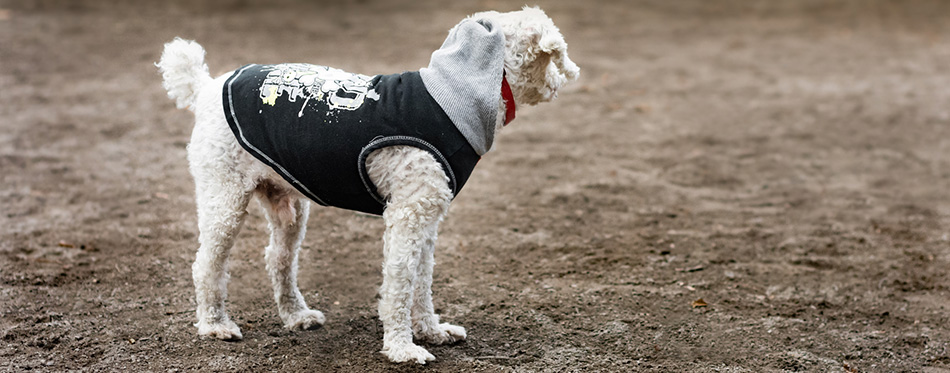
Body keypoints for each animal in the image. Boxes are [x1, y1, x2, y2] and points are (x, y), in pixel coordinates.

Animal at [157, 6, 580, 364]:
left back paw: (296, 315)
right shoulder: (407, 217)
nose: (562, 81)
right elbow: (399, 284)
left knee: (278, 259)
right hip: (224, 198)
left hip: (288, 207)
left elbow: (421, 283)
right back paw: (215, 324)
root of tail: (206, 88)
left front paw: (431, 330)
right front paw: (402, 348)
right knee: (207, 264)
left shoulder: (427, 219)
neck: (451, 95)